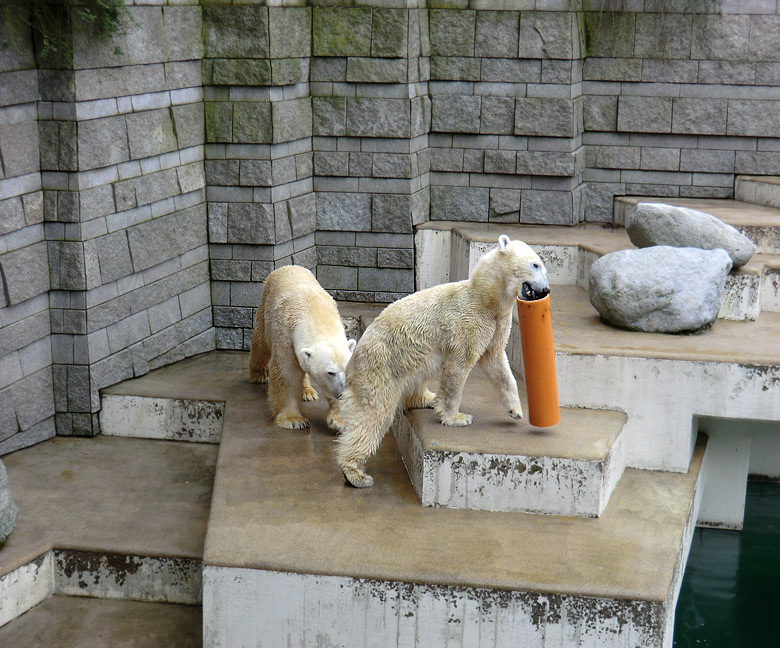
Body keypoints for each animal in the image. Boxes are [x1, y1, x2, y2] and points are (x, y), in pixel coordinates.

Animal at [250, 266, 356, 432]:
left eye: (346, 369)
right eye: (330, 372)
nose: (343, 392)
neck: (316, 315)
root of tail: (287, 267)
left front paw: (338, 421)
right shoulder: (285, 336)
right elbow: (287, 373)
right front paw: (293, 420)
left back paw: (308, 392)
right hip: (265, 308)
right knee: (261, 343)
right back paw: (259, 374)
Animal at [336, 235, 548, 488]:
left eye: (542, 266)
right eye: (535, 264)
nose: (546, 289)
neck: (486, 298)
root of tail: (354, 359)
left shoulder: (497, 324)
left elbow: (497, 363)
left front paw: (516, 410)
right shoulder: (469, 322)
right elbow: (459, 366)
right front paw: (458, 417)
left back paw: (428, 398)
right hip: (382, 365)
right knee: (374, 412)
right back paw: (356, 473)